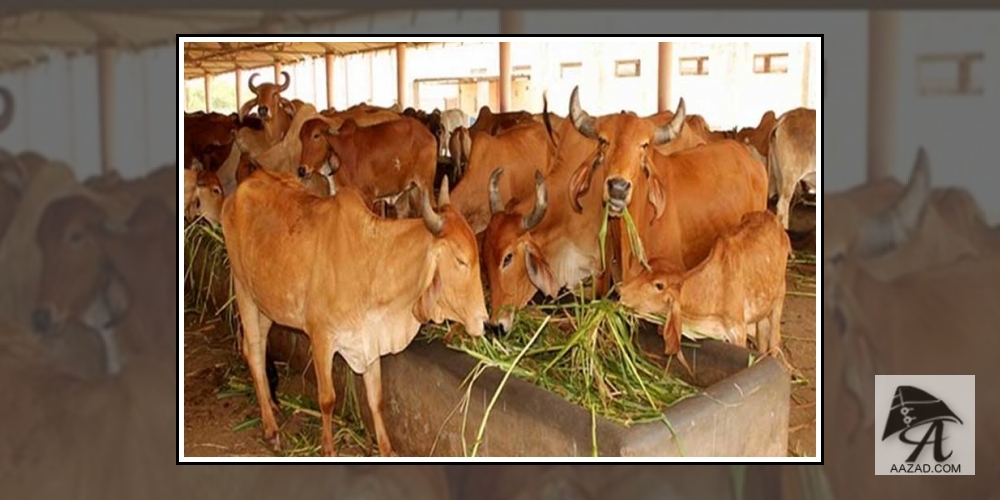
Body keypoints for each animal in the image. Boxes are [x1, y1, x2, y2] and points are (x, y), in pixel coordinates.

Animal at [221, 171, 488, 457]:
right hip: (243, 290)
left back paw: (271, 406)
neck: (371, 262)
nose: (483, 320)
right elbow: (327, 399)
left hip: (267, 304)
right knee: (254, 352)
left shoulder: (369, 339)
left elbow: (376, 398)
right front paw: (328, 449)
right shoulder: (321, 337)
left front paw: (387, 449)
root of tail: (240, 190)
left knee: (257, 350)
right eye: (461, 260)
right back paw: (271, 429)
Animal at [297, 116, 437, 218]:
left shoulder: (367, 198)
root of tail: (428, 134)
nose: (301, 170)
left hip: (425, 184)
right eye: (301, 139)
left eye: (316, 135)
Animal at [618, 211, 790, 371]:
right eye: (643, 271)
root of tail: (772, 217)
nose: (621, 292)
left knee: (774, 340)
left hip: (779, 297)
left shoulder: (738, 331)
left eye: (659, 285)